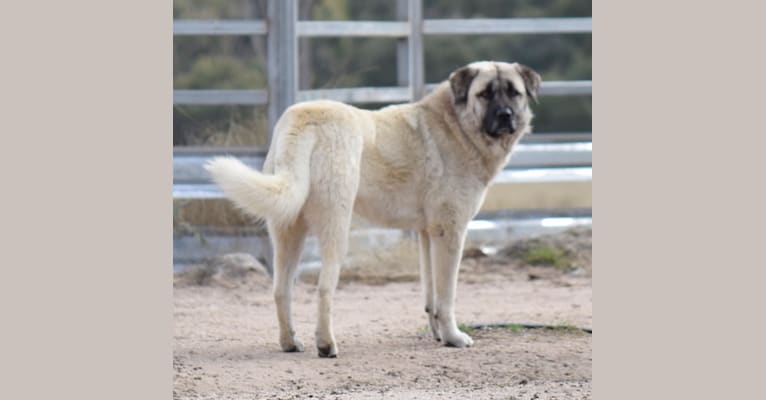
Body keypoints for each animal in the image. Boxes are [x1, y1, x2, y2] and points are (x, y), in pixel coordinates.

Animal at [204, 61, 540, 358]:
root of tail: (303, 118)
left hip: (288, 232)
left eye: (514, 92)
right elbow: (446, 295)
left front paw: (438, 335)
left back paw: (290, 342)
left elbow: (430, 293)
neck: (456, 124)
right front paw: (454, 338)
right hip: (337, 230)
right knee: (324, 288)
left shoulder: (427, 234)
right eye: (485, 94)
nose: (506, 115)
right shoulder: (450, 232)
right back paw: (326, 345)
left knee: (280, 290)